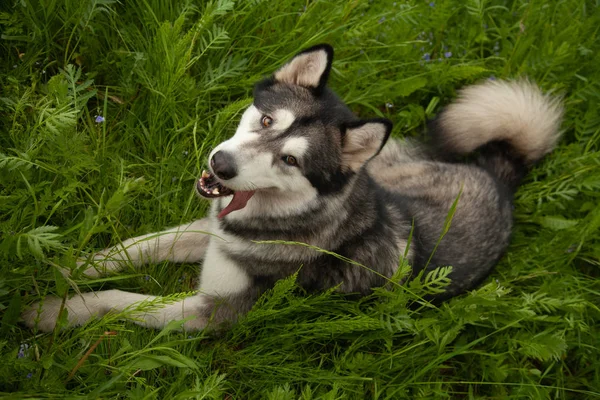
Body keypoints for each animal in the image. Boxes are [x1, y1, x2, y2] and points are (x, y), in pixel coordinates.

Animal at [22, 43, 564, 332]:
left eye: (290, 160)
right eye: (266, 119)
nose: (220, 165)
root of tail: (502, 174)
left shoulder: (214, 311)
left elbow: (122, 300)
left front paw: (52, 310)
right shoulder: (210, 230)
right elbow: (132, 249)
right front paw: (64, 267)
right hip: (391, 165)